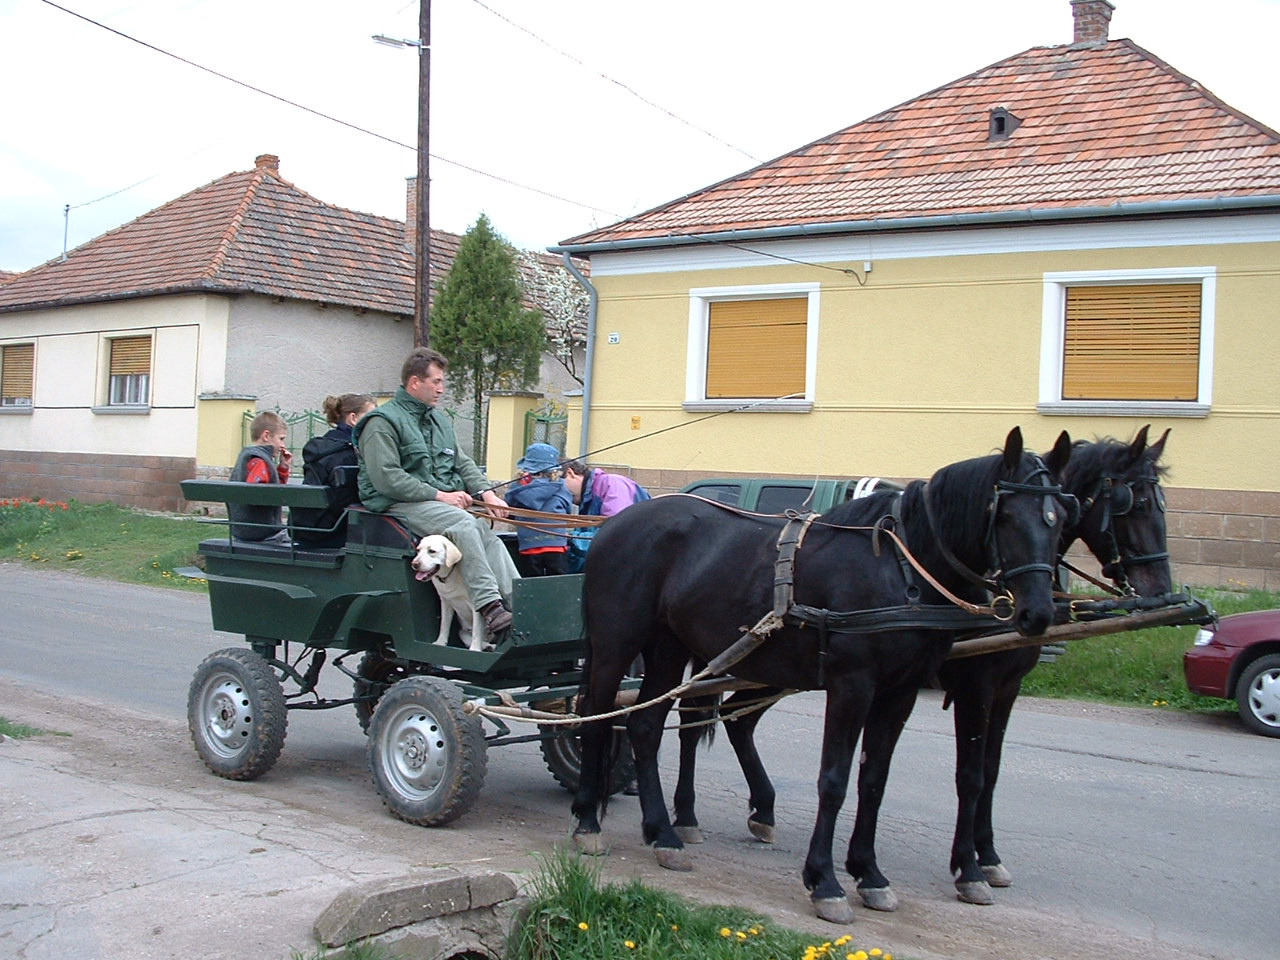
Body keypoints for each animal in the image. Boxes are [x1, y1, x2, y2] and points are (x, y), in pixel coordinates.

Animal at [570, 427, 1070, 926]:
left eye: (1060, 517)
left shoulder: (901, 692)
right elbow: (835, 780)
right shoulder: (857, 685)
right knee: (593, 719)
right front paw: (825, 881)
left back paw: (664, 833)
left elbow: (874, 779)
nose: (1037, 613)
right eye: (1006, 515)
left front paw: (870, 874)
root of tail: (615, 525)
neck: (901, 570)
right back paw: (588, 820)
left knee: (647, 726)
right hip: (617, 645)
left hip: (671, 648)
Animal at [931, 427, 1172, 911]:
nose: (1162, 590)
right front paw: (968, 869)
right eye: (1134, 504)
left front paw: (988, 856)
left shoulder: (1007, 689)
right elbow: (971, 776)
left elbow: (992, 771)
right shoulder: (975, 687)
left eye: (1060, 516)